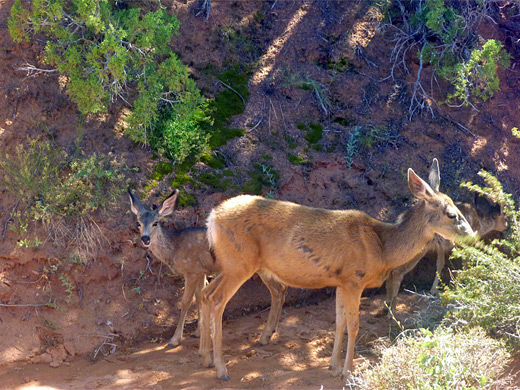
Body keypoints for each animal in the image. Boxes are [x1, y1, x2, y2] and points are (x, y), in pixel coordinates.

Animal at [127, 189, 286, 348]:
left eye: (155, 222)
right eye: (138, 223)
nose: (145, 239)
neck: (175, 249)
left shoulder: (191, 271)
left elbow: (185, 302)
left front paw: (175, 339)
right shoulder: (201, 271)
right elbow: (199, 297)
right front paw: (198, 332)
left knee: (277, 290)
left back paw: (264, 337)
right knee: (281, 288)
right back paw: (271, 331)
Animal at [199, 158, 476, 380]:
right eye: (452, 214)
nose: (471, 233)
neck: (383, 247)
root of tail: (212, 218)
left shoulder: (341, 281)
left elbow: (339, 322)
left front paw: (333, 367)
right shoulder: (354, 279)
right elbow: (354, 325)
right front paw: (347, 371)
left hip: (229, 265)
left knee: (204, 294)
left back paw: (206, 358)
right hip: (240, 264)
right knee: (217, 300)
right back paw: (222, 369)